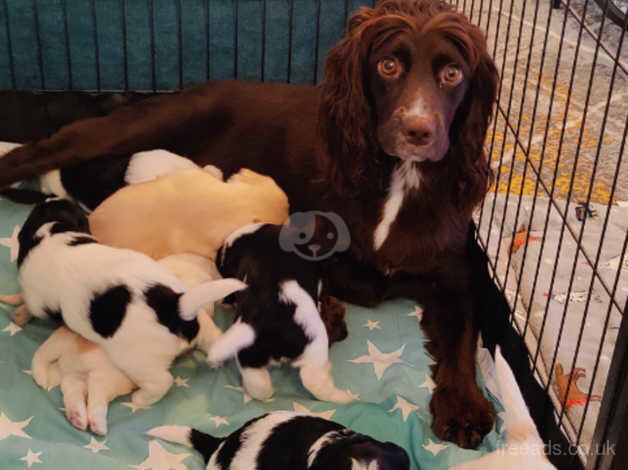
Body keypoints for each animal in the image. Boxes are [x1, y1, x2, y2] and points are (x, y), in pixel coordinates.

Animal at [14, 198, 245, 408]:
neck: (50, 232)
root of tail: (175, 306)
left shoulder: (35, 295)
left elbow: (31, 304)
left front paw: (21, 313)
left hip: (140, 362)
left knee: (162, 381)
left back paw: (141, 399)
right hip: (200, 326)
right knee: (214, 340)